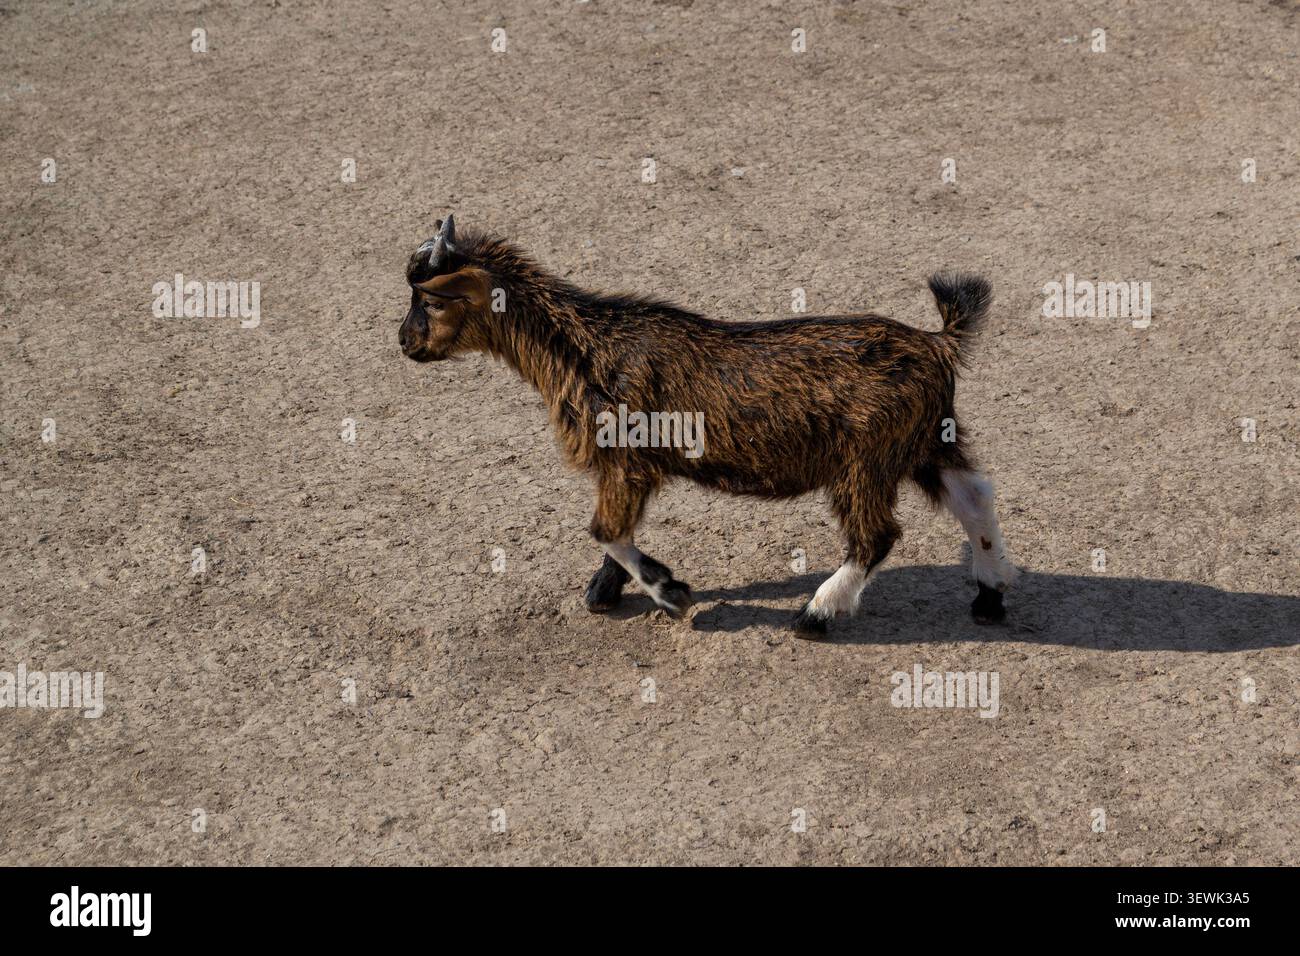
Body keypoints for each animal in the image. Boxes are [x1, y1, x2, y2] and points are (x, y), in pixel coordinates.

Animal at [398, 215, 1016, 635]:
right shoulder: (624, 468)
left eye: (431, 301)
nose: (403, 342)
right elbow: (613, 530)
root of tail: (938, 342)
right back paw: (989, 597)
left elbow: (605, 529)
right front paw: (604, 591)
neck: (586, 346)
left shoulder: (627, 460)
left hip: (866, 460)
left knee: (877, 535)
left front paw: (671, 592)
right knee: (975, 497)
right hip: (926, 442)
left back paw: (816, 613)